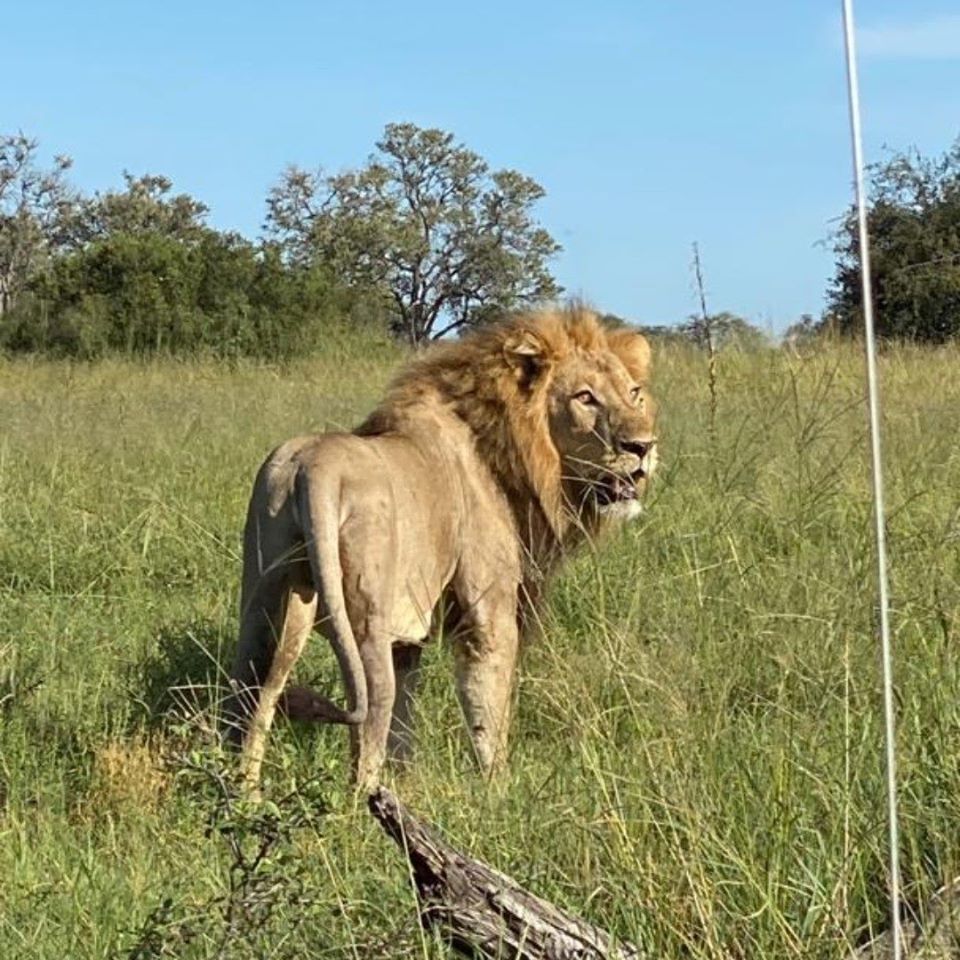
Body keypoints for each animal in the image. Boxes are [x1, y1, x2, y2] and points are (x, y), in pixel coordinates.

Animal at [226, 306, 660, 788]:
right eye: (586, 398)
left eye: (634, 394)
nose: (643, 446)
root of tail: (313, 468)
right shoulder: (487, 615)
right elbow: (488, 711)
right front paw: (498, 791)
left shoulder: (407, 639)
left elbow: (403, 727)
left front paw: (406, 782)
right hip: (364, 617)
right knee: (367, 725)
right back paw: (365, 805)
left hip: (266, 607)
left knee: (254, 698)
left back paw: (245, 794)